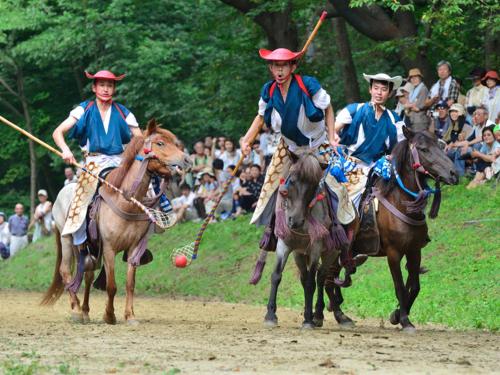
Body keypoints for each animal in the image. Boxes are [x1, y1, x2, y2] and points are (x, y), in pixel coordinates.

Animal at [40, 119, 191, 324]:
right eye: (160, 143)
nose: (188, 160)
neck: (125, 200)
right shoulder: (109, 248)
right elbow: (111, 285)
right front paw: (109, 315)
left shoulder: (134, 248)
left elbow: (130, 284)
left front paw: (130, 316)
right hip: (67, 239)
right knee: (65, 272)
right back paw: (76, 311)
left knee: (87, 274)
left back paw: (85, 311)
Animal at [262, 153, 352, 328]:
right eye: (292, 180)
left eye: (313, 187)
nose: (294, 221)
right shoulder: (284, 244)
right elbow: (276, 275)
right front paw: (270, 315)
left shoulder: (315, 248)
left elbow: (311, 283)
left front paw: (308, 321)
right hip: (299, 254)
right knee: (305, 278)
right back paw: (308, 312)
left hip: (330, 253)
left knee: (320, 277)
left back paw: (316, 315)